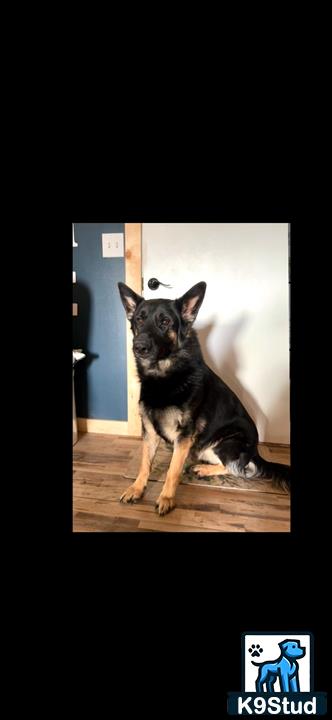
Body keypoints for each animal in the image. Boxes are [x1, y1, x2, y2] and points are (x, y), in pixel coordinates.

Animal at [118, 282, 290, 516]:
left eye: (165, 322)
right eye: (139, 320)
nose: (139, 347)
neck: (164, 376)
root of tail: (255, 451)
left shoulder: (185, 435)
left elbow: (172, 470)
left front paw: (167, 498)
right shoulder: (150, 432)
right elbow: (145, 464)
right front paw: (136, 489)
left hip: (226, 442)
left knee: (241, 470)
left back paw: (204, 469)